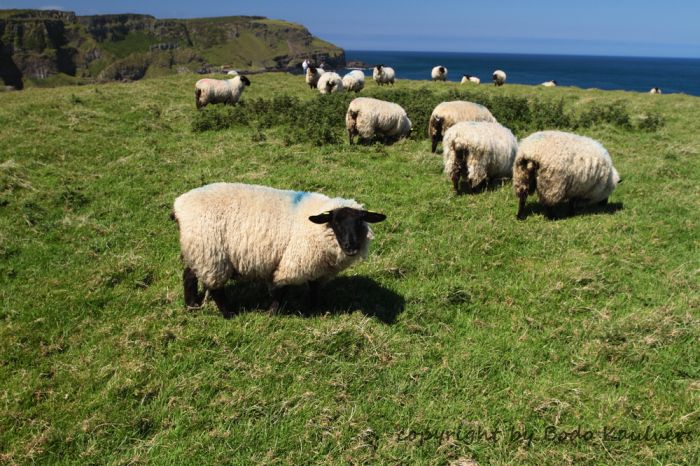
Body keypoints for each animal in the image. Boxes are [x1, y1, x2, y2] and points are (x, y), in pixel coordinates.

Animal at [172, 182, 386, 316]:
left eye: (360, 221)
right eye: (335, 222)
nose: (352, 247)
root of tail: (178, 207)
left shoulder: (317, 266)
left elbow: (314, 287)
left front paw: (315, 308)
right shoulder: (295, 261)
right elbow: (282, 289)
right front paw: (272, 313)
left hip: (197, 250)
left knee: (188, 275)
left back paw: (191, 305)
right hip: (210, 252)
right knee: (216, 288)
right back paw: (229, 313)